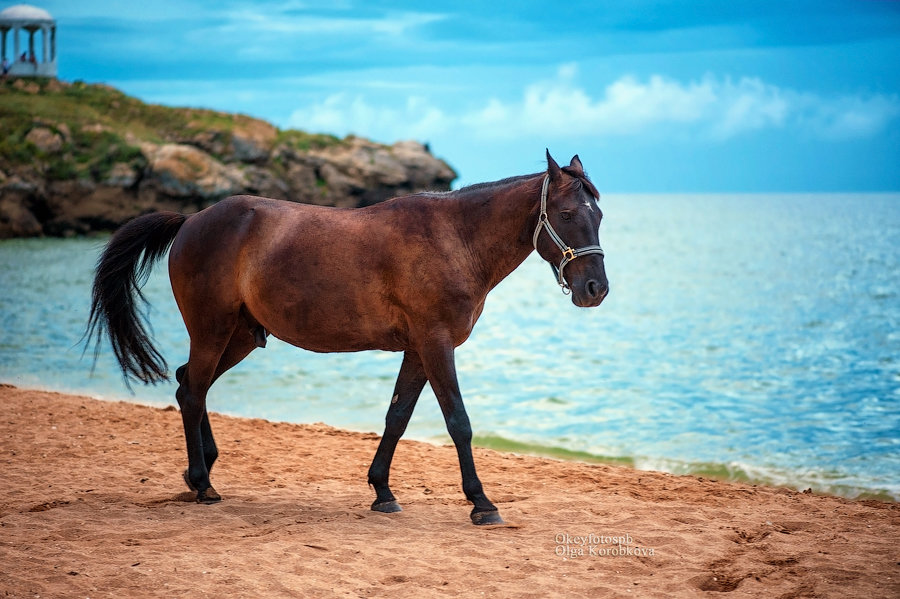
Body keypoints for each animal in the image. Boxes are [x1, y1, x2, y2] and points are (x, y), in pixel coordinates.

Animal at [84, 150, 608, 524]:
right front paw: (481, 503)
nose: (595, 289)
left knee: (187, 384)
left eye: (598, 215)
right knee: (193, 390)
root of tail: (192, 220)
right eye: (565, 213)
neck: (454, 238)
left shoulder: (418, 349)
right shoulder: (436, 343)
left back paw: (204, 471)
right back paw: (202, 483)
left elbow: (397, 418)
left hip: (240, 337)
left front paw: (382, 491)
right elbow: (458, 422)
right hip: (212, 330)